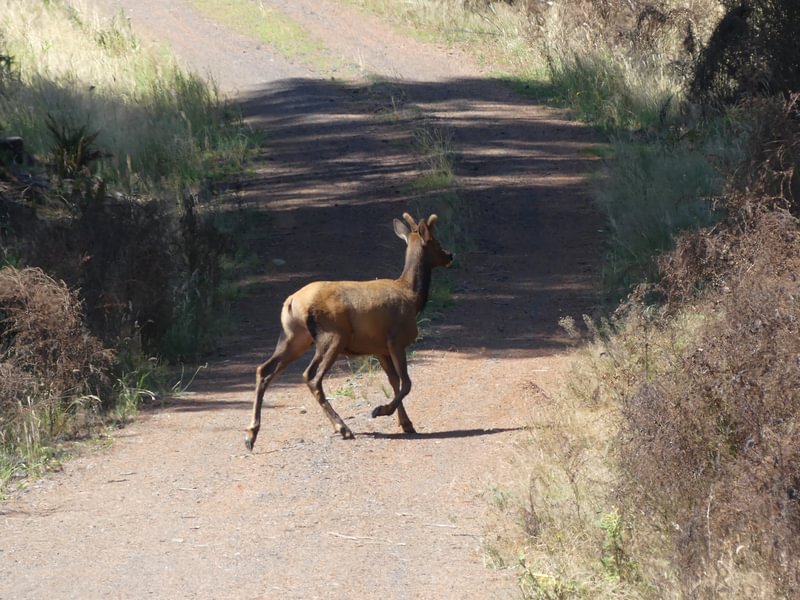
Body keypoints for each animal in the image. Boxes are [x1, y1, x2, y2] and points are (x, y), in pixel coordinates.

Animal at [245, 213, 453, 451]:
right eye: (436, 242)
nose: (450, 255)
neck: (413, 297)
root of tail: (292, 302)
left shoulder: (380, 348)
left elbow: (394, 382)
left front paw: (406, 423)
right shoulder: (396, 340)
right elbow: (406, 383)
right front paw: (380, 411)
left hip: (294, 337)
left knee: (264, 369)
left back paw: (251, 435)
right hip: (333, 335)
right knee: (311, 377)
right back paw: (343, 428)